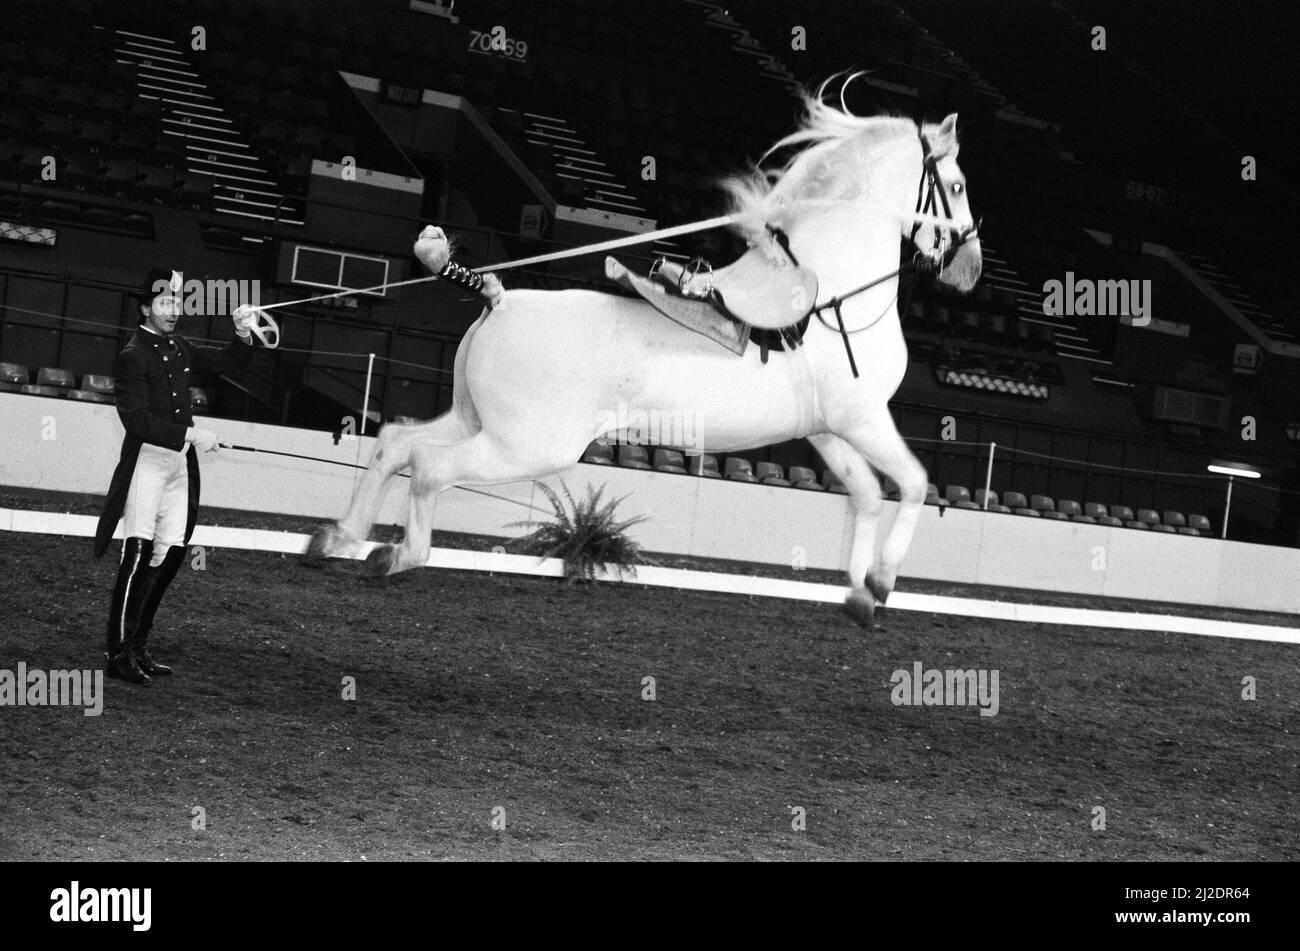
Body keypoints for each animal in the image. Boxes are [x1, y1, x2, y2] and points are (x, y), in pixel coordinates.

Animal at [304, 90, 977, 623]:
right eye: (958, 186)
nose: (969, 267)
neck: (833, 291)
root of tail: (500, 298)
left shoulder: (828, 430)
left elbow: (866, 494)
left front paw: (861, 595)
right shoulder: (862, 418)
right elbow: (914, 483)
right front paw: (883, 582)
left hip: (477, 420)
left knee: (396, 442)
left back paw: (339, 537)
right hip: (529, 445)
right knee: (429, 467)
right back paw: (396, 554)